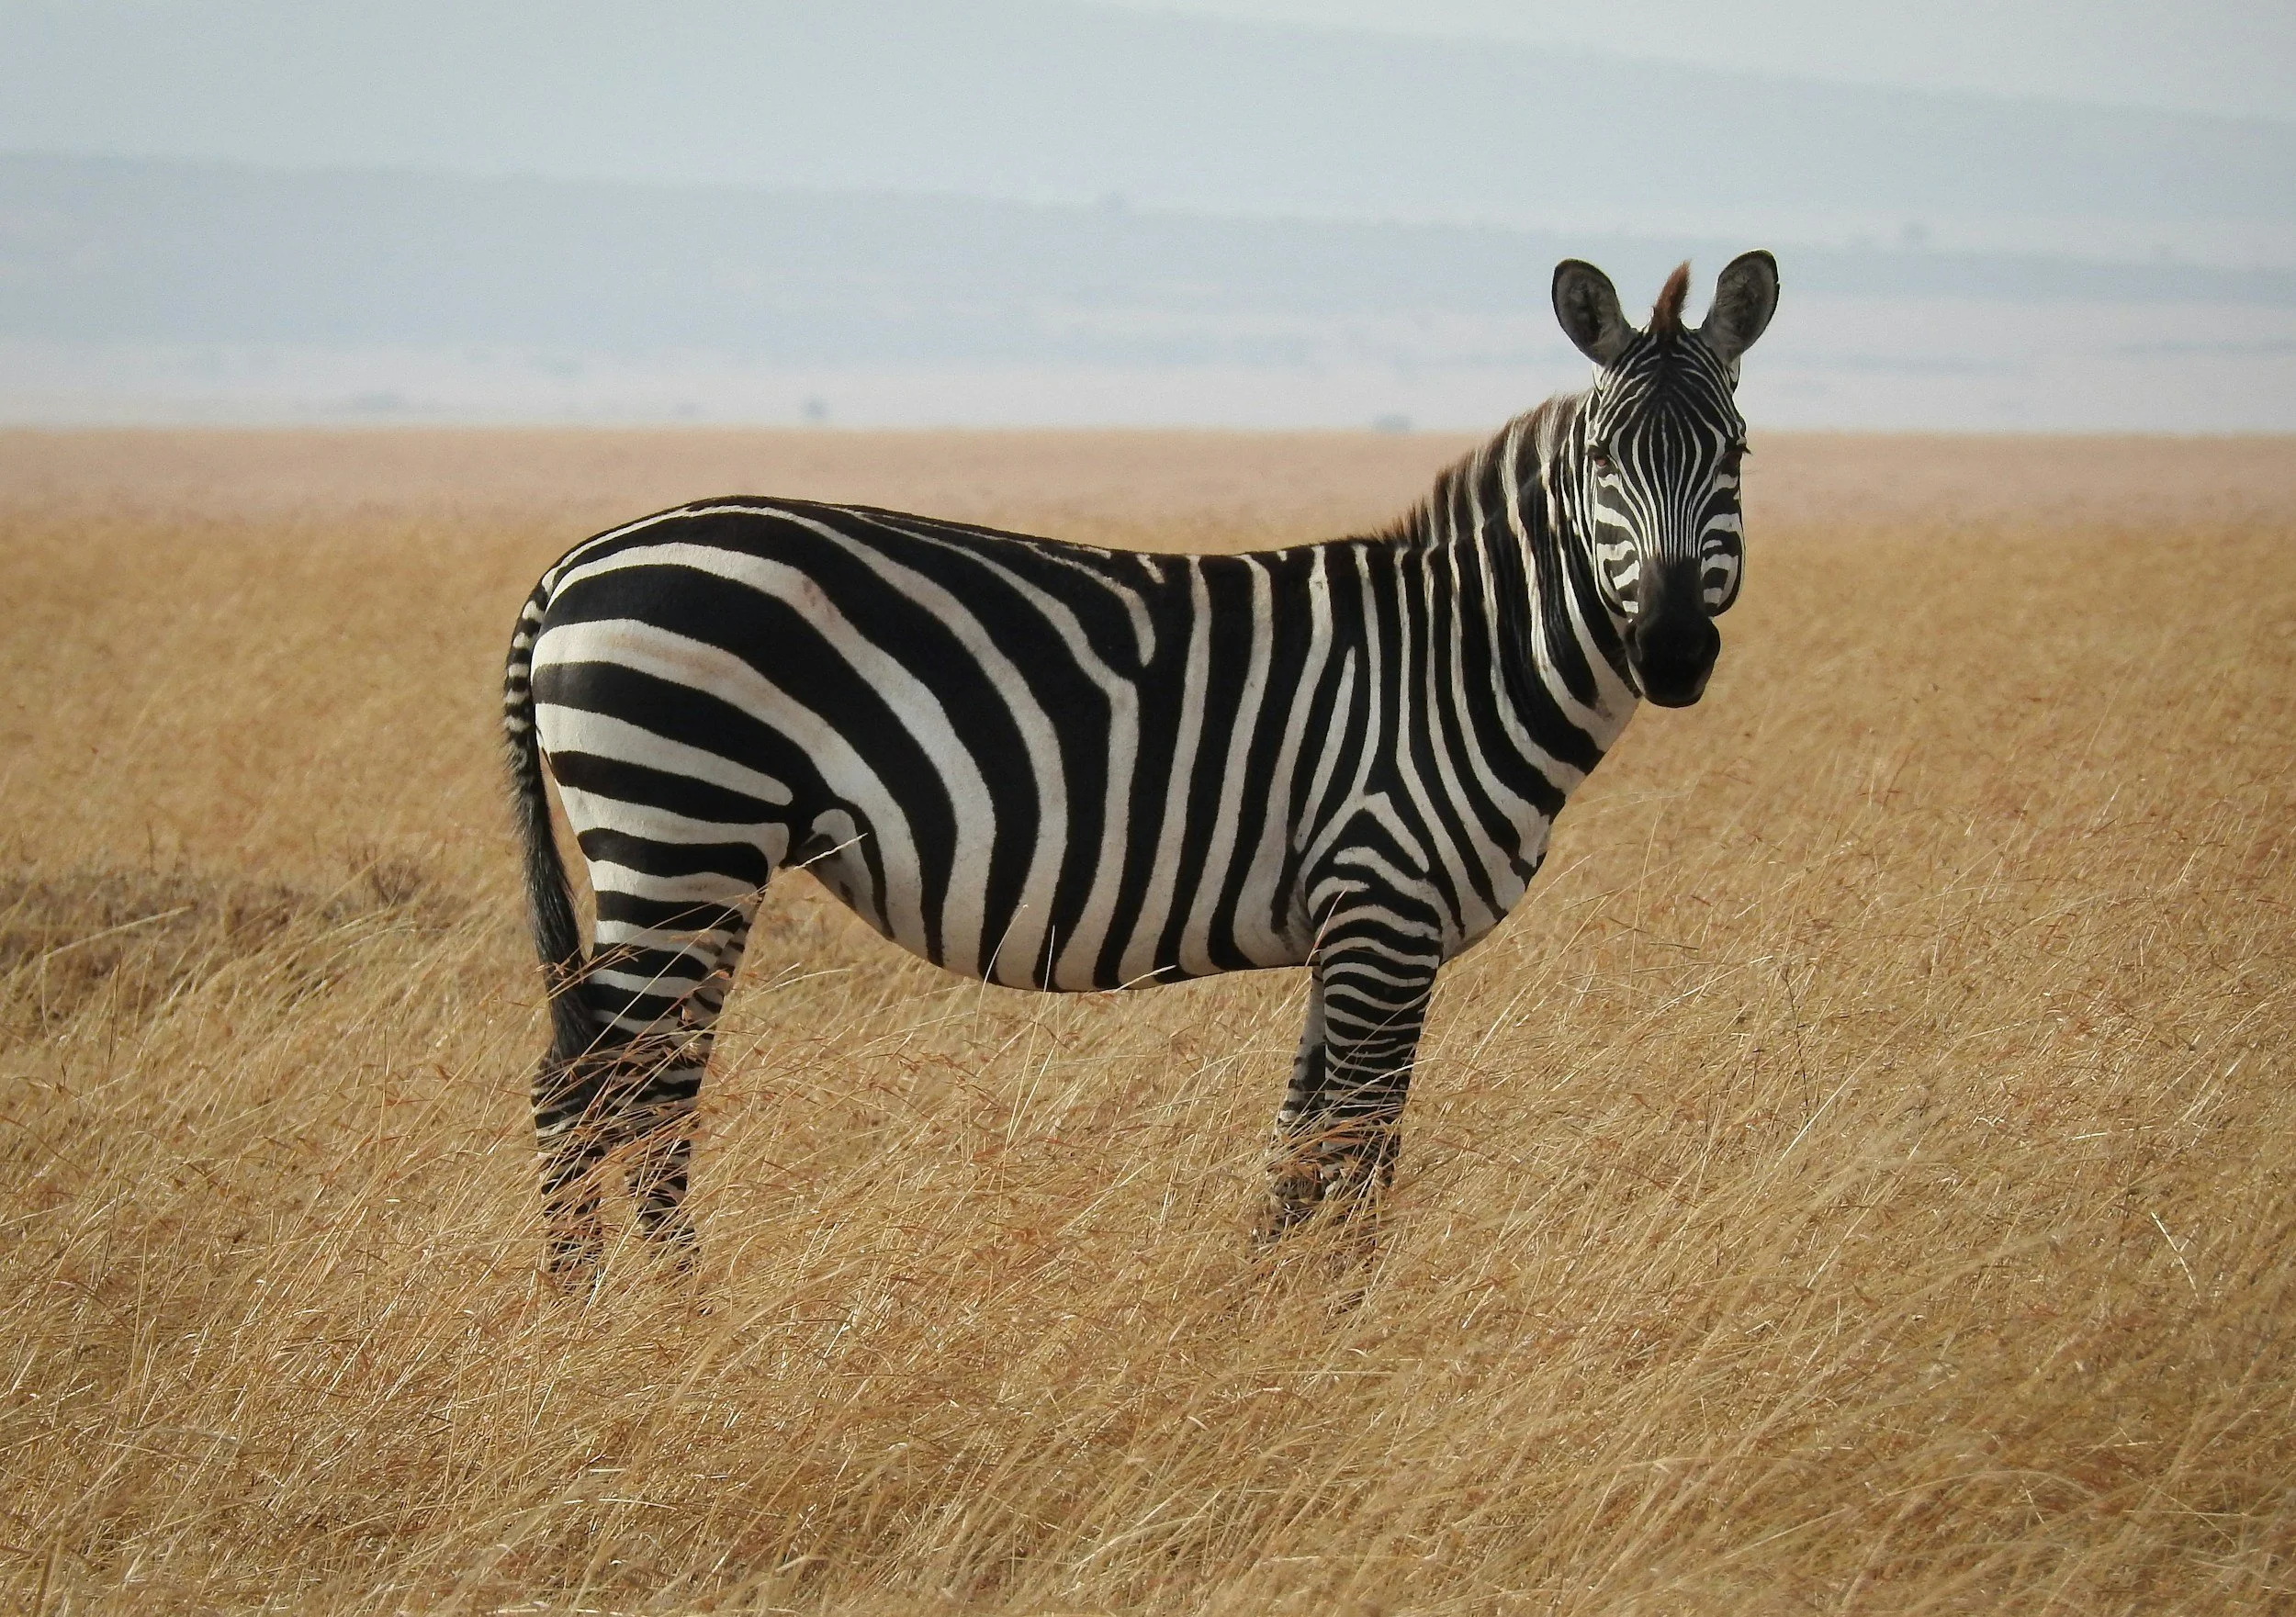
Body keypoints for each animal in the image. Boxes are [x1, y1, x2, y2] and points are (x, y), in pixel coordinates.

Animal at [503, 252, 1779, 1279]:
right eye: (1605, 460)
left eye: (1736, 454)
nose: (1672, 651)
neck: (1461, 660)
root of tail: (575, 562)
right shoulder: (1385, 907)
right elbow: (1362, 1152)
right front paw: (1350, 1333)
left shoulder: (1346, 928)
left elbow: (1295, 1154)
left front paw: (1257, 1324)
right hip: (685, 830)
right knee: (605, 1093)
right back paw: (639, 1325)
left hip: (692, 853)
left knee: (622, 1088)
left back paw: (617, 1315)